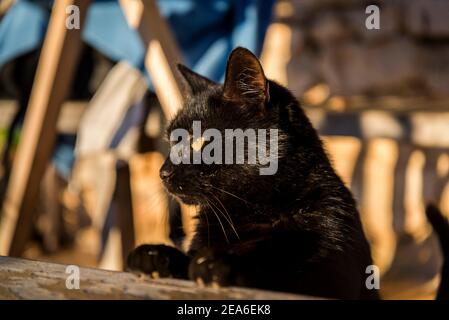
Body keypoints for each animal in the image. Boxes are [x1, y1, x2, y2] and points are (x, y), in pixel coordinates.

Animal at [127, 47, 378, 300]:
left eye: (202, 140)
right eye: (172, 140)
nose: (163, 172)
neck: (249, 210)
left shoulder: (333, 265)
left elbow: (276, 263)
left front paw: (220, 261)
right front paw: (155, 255)